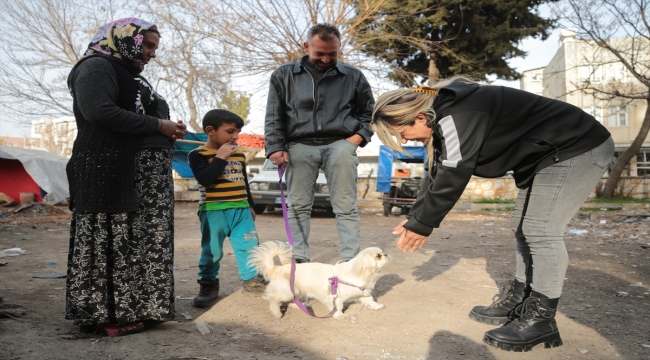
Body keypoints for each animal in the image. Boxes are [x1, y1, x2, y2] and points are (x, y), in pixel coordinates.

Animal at [248, 240, 390, 320]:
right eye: (378, 256)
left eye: (382, 253)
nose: (386, 254)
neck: (360, 273)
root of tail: (277, 268)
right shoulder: (336, 297)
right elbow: (338, 307)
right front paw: (339, 316)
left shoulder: (362, 293)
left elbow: (370, 301)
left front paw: (377, 306)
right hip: (286, 292)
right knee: (273, 300)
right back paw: (277, 313)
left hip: (295, 291)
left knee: (291, 300)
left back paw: (299, 306)